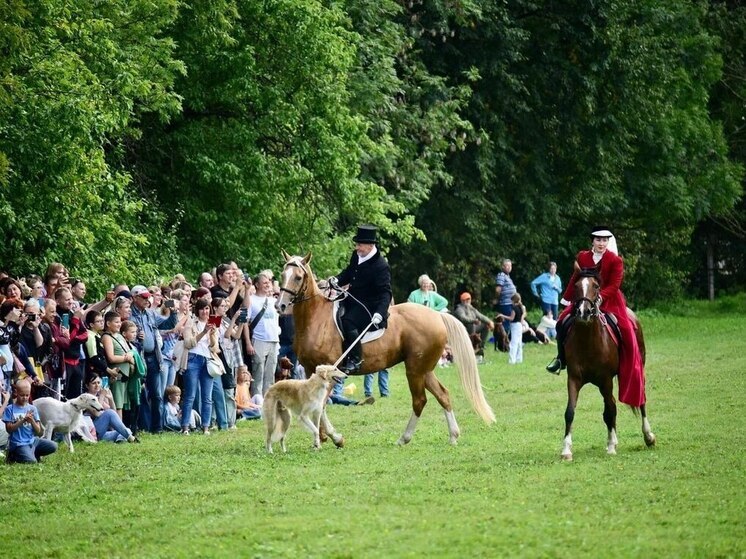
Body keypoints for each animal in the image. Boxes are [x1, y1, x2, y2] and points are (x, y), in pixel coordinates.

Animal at [276, 252, 495, 445]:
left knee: (419, 400)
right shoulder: (310, 370)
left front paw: (335, 438)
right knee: (442, 394)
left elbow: (321, 405)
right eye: (282, 275)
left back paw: (404, 438)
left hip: (414, 370)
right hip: (424, 370)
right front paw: (321, 436)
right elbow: (317, 406)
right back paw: (453, 436)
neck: (316, 319)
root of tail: (436, 315)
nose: (280, 306)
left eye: (298, 277)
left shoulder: (329, 372)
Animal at [561, 267, 656, 461]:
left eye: (596, 286)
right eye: (576, 285)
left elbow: (610, 411)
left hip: (635, 371)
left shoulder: (605, 380)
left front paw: (611, 446)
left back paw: (648, 436)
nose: (583, 312)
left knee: (639, 401)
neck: (588, 340)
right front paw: (566, 450)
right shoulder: (573, 379)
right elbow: (570, 412)